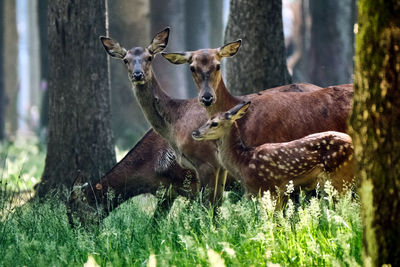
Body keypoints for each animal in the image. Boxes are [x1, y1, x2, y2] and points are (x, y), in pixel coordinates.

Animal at [192, 102, 354, 201]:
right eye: (207, 119)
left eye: (214, 123)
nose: (195, 132)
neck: (243, 162)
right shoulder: (281, 193)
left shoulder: (267, 189)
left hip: (339, 176)